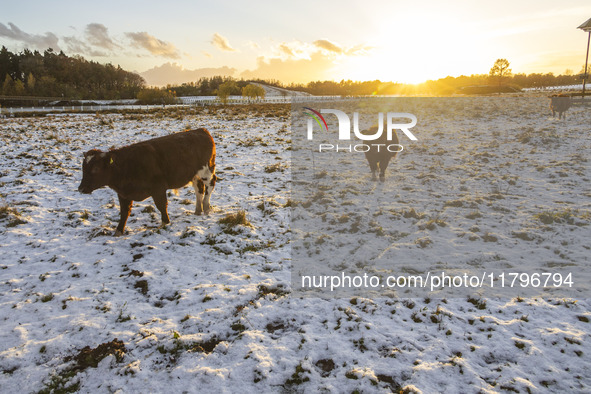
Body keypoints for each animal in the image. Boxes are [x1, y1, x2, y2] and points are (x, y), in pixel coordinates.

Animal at [78, 129, 216, 234]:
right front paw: (119, 230)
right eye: (83, 167)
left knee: (210, 185)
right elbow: (124, 212)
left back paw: (206, 207)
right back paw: (198, 210)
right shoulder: (123, 194)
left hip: (206, 170)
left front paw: (165, 223)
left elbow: (161, 206)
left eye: (96, 168)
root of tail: (201, 130)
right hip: (194, 174)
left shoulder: (158, 189)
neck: (127, 166)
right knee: (199, 189)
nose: (81, 188)